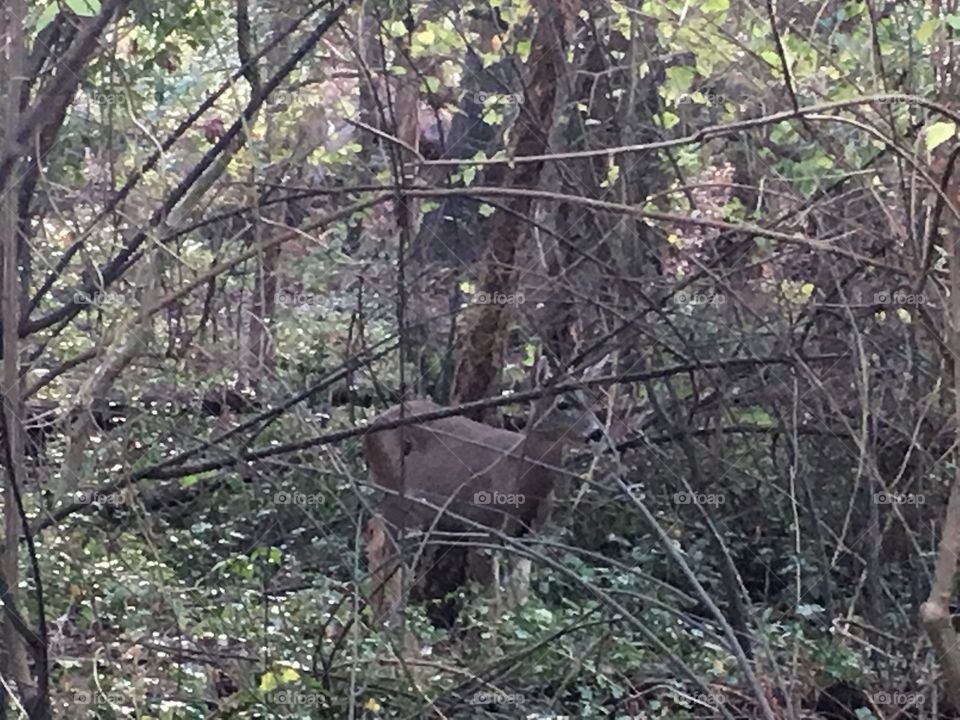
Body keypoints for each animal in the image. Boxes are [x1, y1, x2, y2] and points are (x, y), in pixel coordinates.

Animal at [364, 358, 604, 628]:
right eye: (563, 404)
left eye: (591, 400)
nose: (597, 432)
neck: (520, 480)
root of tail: (369, 429)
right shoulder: (483, 525)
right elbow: (494, 600)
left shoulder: (529, 535)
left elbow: (519, 597)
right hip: (398, 492)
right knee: (387, 553)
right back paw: (391, 625)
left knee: (376, 537)